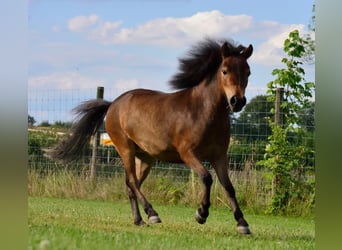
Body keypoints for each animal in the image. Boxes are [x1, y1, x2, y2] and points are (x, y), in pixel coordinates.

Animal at [51, 38, 254, 234]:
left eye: (248, 72)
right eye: (225, 71)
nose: (237, 101)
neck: (203, 111)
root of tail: (112, 104)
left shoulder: (219, 156)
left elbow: (228, 187)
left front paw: (242, 223)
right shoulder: (188, 154)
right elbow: (207, 178)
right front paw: (201, 214)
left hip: (145, 157)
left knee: (131, 185)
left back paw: (139, 220)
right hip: (125, 149)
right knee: (132, 182)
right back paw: (152, 214)